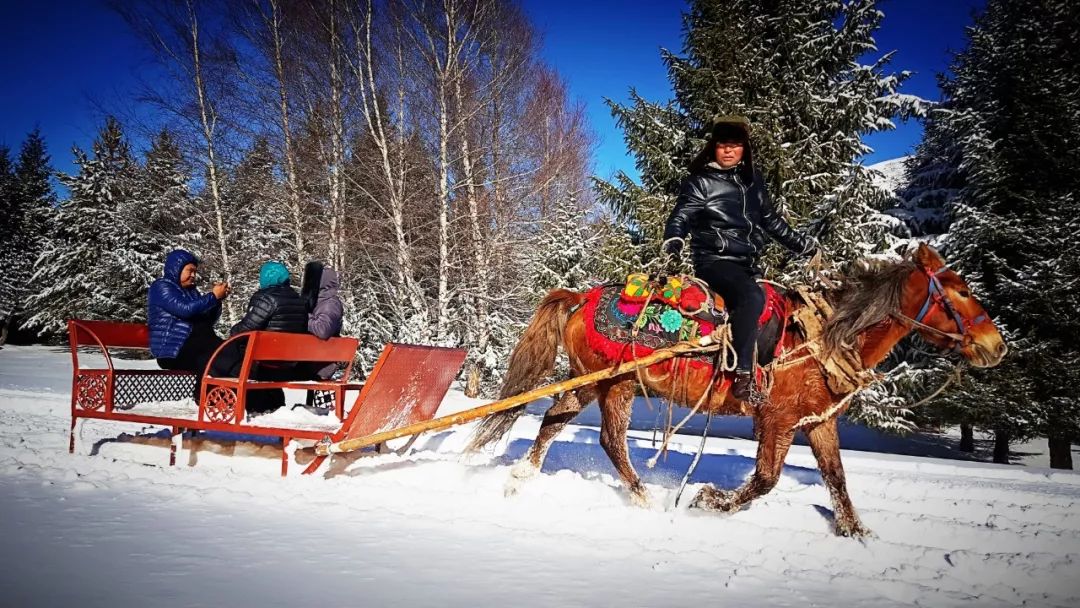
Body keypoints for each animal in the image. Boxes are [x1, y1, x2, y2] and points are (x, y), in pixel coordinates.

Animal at [468, 242, 1006, 537]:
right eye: (960, 291)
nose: (995, 345)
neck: (824, 335)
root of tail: (581, 296)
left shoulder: (819, 422)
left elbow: (837, 479)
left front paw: (856, 531)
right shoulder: (776, 419)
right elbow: (765, 480)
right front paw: (709, 500)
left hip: (591, 382)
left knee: (553, 419)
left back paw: (521, 478)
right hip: (616, 383)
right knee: (610, 440)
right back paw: (643, 498)